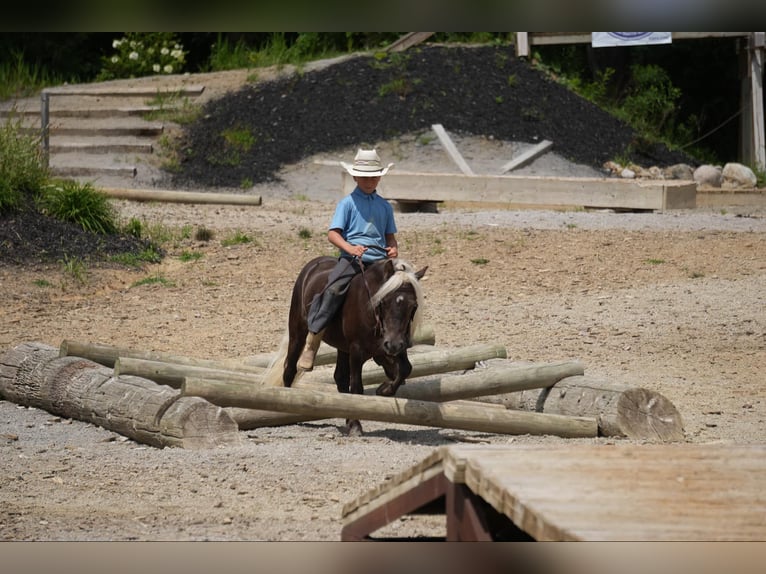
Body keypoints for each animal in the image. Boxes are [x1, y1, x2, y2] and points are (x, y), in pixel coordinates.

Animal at [268, 256, 428, 436]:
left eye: (413, 306)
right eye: (384, 302)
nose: (393, 345)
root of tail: (313, 263)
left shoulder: (397, 346)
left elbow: (406, 369)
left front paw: (384, 390)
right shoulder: (357, 350)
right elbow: (357, 386)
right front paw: (356, 425)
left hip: (343, 347)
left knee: (340, 378)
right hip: (298, 332)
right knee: (289, 369)